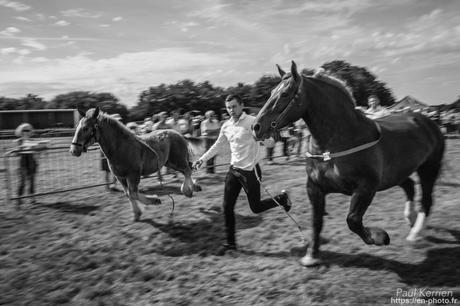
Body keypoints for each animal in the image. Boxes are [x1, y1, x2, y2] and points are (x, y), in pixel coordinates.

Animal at [69, 106, 199, 221]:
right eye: (77, 127)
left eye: (86, 128)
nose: (73, 150)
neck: (120, 148)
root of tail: (180, 134)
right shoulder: (120, 177)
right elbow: (128, 193)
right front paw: (137, 214)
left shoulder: (133, 175)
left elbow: (133, 193)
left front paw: (154, 200)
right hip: (170, 163)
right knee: (189, 169)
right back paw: (194, 187)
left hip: (177, 161)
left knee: (187, 170)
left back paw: (187, 191)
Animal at [252, 61, 446, 266]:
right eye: (271, 92)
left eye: (284, 93)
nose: (256, 127)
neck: (335, 144)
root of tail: (426, 120)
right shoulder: (314, 188)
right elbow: (316, 221)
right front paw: (311, 256)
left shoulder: (366, 187)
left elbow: (352, 220)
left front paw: (379, 237)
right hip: (398, 173)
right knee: (409, 187)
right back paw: (411, 218)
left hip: (429, 168)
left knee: (426, 199)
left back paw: (416, 233)